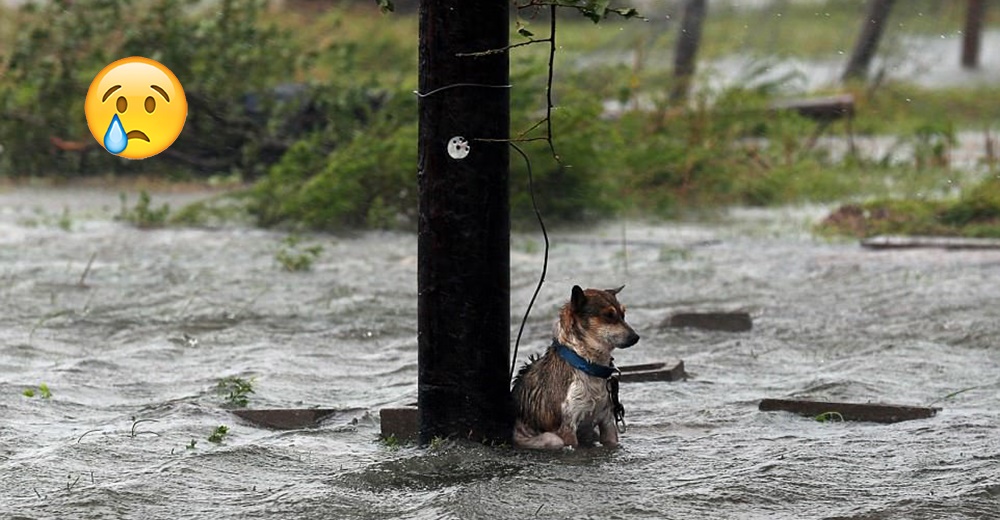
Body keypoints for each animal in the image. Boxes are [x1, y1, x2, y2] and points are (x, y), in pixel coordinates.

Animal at [508, 286, 640, 448]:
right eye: (608, 315)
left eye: (623, 315)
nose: (636, 337)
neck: (586, 365)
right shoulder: (567, 428)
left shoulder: (607, 422)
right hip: (550, 439)